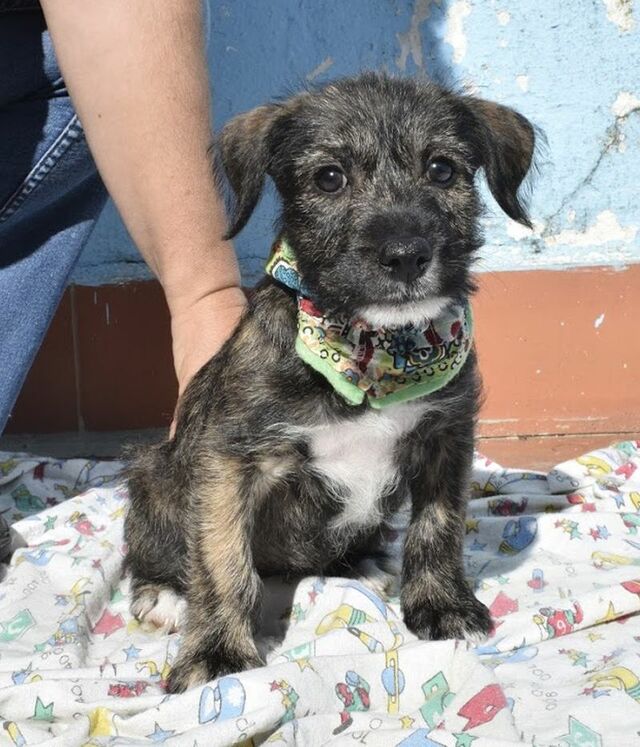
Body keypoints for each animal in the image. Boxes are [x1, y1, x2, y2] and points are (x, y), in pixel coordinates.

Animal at [124, 73, 536, 692]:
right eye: (329, 178)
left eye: (442, 170)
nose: (405, 256)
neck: (371, 347)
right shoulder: (228, 459)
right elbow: (222, 558)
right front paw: (217, 654)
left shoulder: (446, 436)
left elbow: (437, 527)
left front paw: (442, 606)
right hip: (153, 472)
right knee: (156, 552)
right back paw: (166, 596)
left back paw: (362, 566)